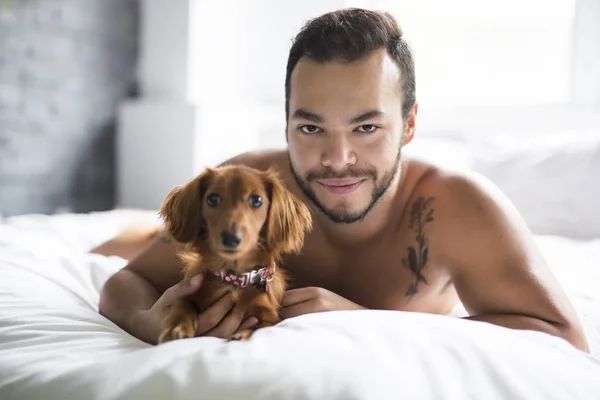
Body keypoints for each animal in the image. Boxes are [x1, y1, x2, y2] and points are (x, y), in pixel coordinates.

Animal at [157, 164, 312, 342]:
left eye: (257, 200)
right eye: (213, 199)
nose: (231, 238)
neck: (235, 278)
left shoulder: (270, 316)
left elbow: (262, 327)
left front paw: (243, 334)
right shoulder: (191, 291)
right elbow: (183, 303)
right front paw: (176, 328)